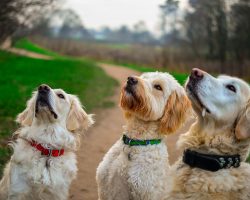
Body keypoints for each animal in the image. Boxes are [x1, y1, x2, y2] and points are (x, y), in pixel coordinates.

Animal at [96, 72, 190, 200]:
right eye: (144, 77)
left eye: (158, 87)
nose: (130, 79)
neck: (134, 143)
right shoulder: (104, 189)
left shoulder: (145, 193)